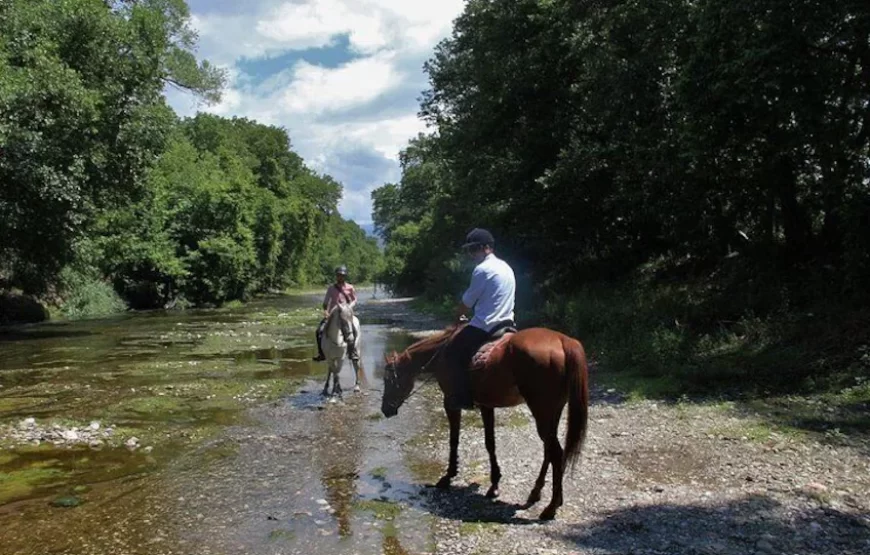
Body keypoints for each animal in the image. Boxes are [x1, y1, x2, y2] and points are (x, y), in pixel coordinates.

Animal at [380, 326, 588, 520]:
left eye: (388, 379)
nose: (385, 409)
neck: (440, 354)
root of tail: (562, 340)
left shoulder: (450, 403)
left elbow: (454, 440)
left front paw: (448, 476)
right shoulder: (486, 406)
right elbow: (490, 443)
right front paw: (494, 484)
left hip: (542, 411)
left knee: (555, 452)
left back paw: (551, 507)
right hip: (552, 411)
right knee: (549, 450)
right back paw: (536, 494)